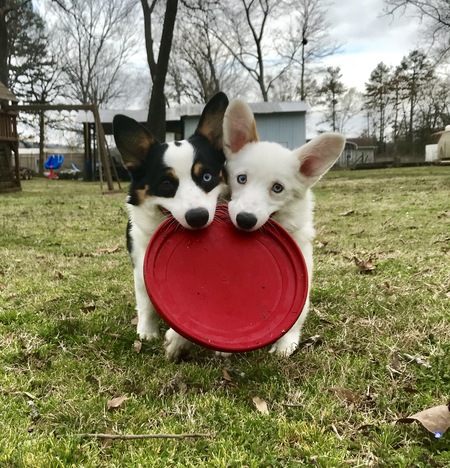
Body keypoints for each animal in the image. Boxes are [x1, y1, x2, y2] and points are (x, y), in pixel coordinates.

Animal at [113, 92, 229, 362]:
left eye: (206, 177)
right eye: (166, 183)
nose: (197, 217)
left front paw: (180, 340)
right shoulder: (140, 263)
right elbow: (147, 302)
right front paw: (147, 332)